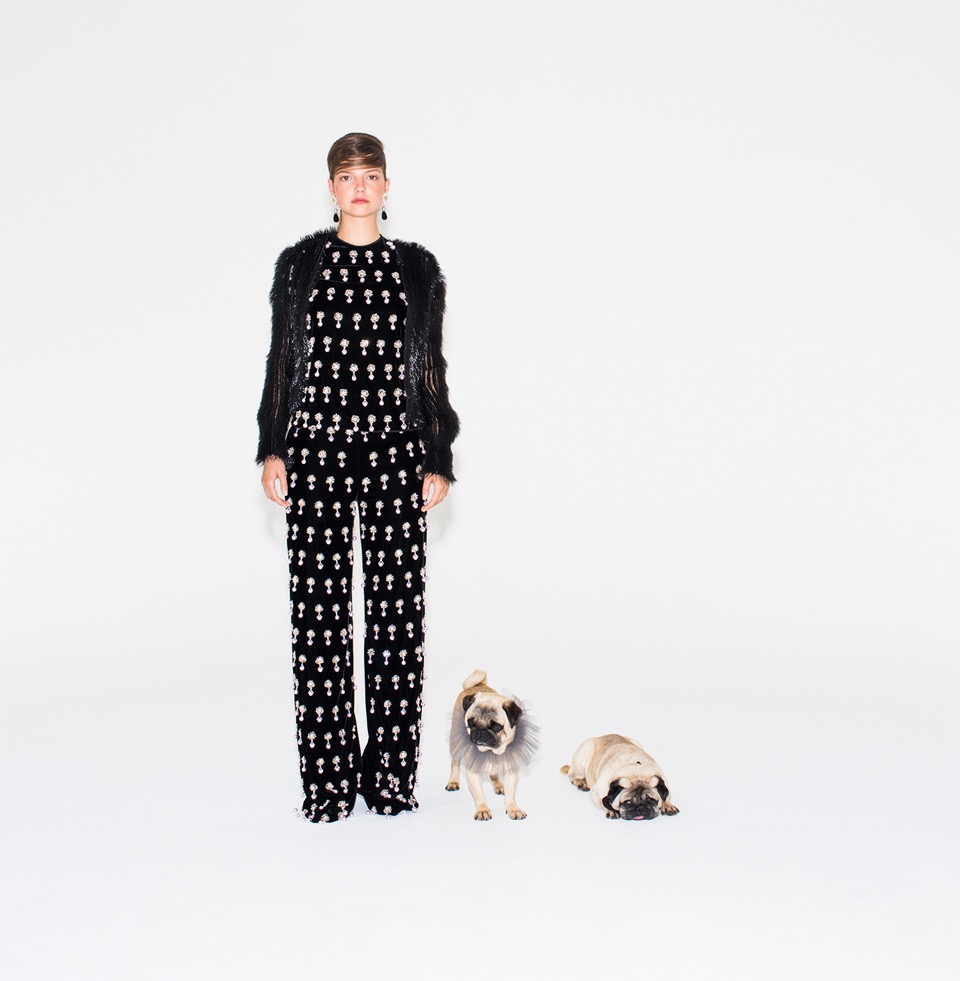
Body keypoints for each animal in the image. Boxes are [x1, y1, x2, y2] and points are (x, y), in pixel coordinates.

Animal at [446, 669, 539, 821]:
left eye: (496, 726)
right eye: (471, 722)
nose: (481, 730)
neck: (491, 751)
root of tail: (478, 684)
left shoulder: (510, 770)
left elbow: (510, 794)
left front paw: (513, 808)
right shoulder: (473, 773)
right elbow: (479, 794)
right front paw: (482, 810)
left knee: (494, 773)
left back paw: (498, 785)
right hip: (454, 742)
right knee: (455, 763)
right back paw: (453, 782)